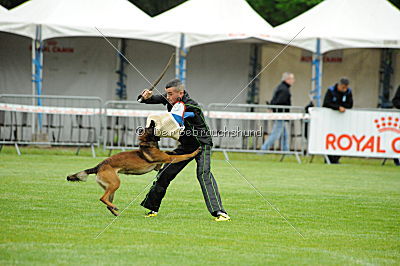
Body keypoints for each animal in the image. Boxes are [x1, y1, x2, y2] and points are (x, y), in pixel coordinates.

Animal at [67, 121, 203, 217]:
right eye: (150, 126)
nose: (152, 120)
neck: (148, 143)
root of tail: (99, 165)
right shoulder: (168, 159)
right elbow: (182, 156)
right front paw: (195, 151)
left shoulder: (158, 165)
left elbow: (168, 152)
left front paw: (172, 150)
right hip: (115, 183)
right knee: (102, 198)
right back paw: (114, 208)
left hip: (111, 187)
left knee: (106, 202)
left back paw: (114, 211)